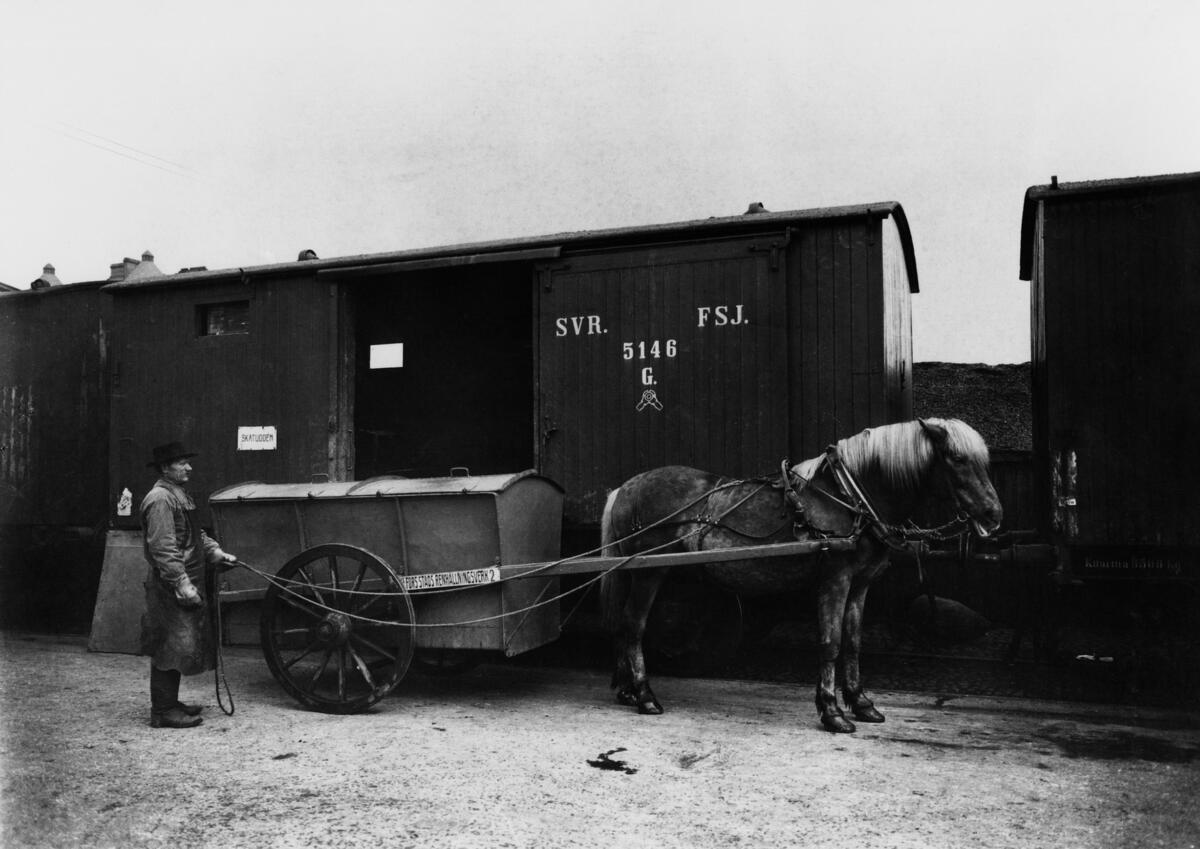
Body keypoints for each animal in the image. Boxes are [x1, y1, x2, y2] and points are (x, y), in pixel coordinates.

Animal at [600, 417, 1003, 729]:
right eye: (957, 458)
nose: (993, 514)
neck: (849, 497)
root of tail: (624, 487)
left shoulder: (860, 584)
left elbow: (853, 642)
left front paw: (861, 703)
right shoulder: (835, 579)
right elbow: (830, 642)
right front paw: (832, 711)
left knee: (622, 623)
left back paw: (628, 690)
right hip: (649, 573)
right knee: (634, 625)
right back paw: (645, 695)